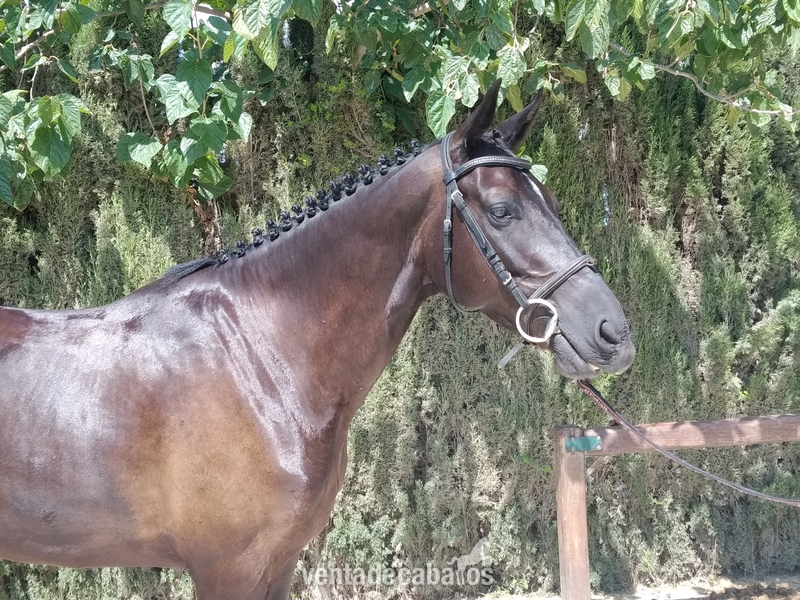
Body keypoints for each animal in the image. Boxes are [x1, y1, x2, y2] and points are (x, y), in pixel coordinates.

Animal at [0, 80, 635, 599]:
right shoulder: (229, 569)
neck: (258, 359)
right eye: (502, 210)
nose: (614, 332)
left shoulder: (276, 565)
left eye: (553, 203)